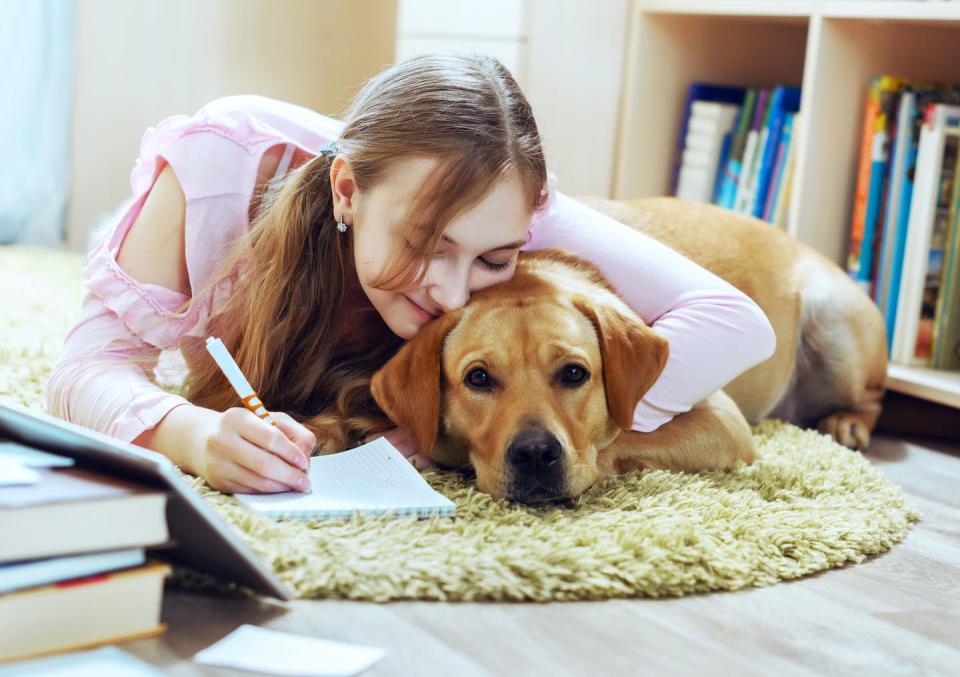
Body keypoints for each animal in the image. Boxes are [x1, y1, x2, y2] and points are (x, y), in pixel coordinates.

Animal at [368, 195, 884, 502]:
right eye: (478, 378)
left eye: (574, 373)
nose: (534, 453)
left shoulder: (723, 422)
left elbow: (619, 439)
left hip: (833, 316)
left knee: (873, 399)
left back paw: (848, 423)